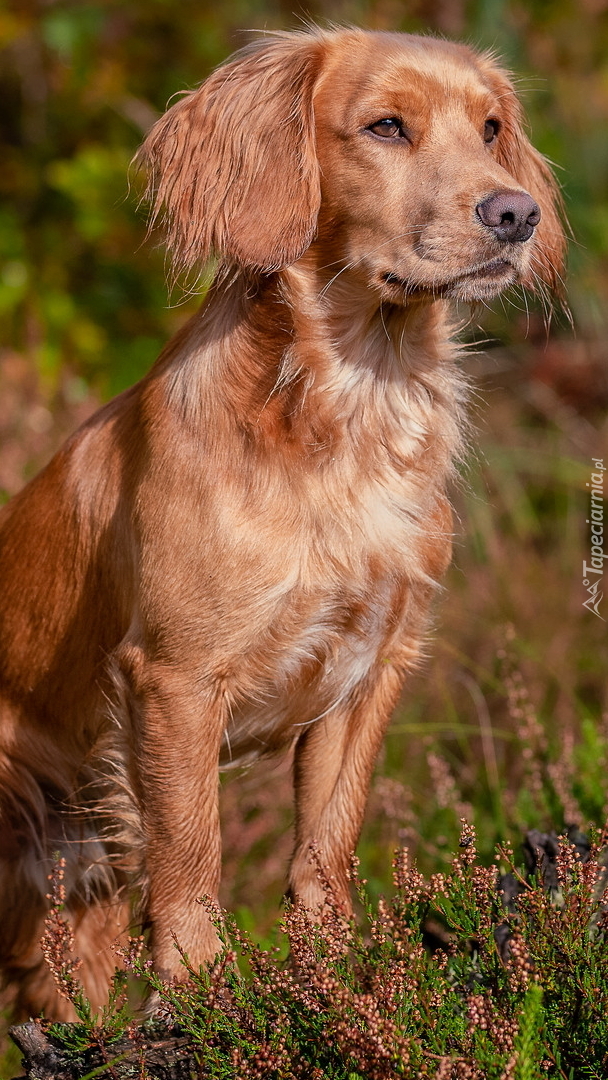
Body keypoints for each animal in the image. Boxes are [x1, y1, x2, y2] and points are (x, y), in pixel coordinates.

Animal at [0, 27, 565, 1019]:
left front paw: (336, 979)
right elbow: (192, 856)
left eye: (492, 128)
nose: (517, 215)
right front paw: (200, 990)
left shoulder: (369, 667)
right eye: (386, 127)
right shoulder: (175, 680)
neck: (354, 401)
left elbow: (325, 845)